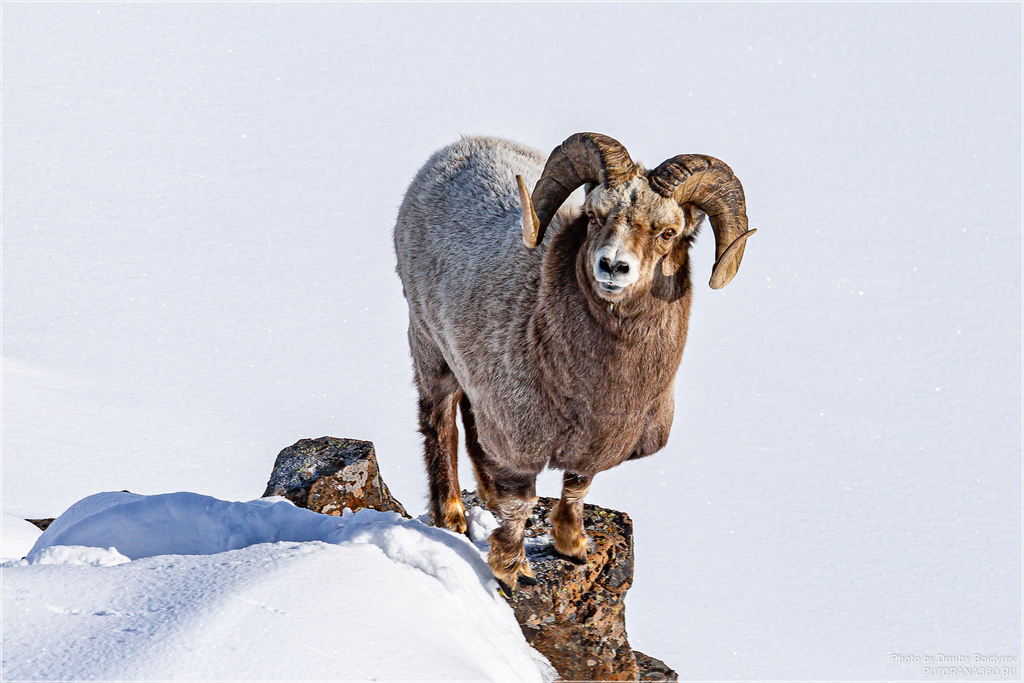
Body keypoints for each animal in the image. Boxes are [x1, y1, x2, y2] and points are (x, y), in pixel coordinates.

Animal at [393, 133, 754, 594]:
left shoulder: (594, 443)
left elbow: (576, 486)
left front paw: (572, 545)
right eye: (594, 217)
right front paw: (513, 570)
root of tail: (456, 149)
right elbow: (520, 503)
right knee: (440, 424)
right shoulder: (518, 441)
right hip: (430, 350)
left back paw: (484, 497)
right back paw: (452, 517)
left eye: (668, 232)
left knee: (472, 428)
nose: (613, 266)